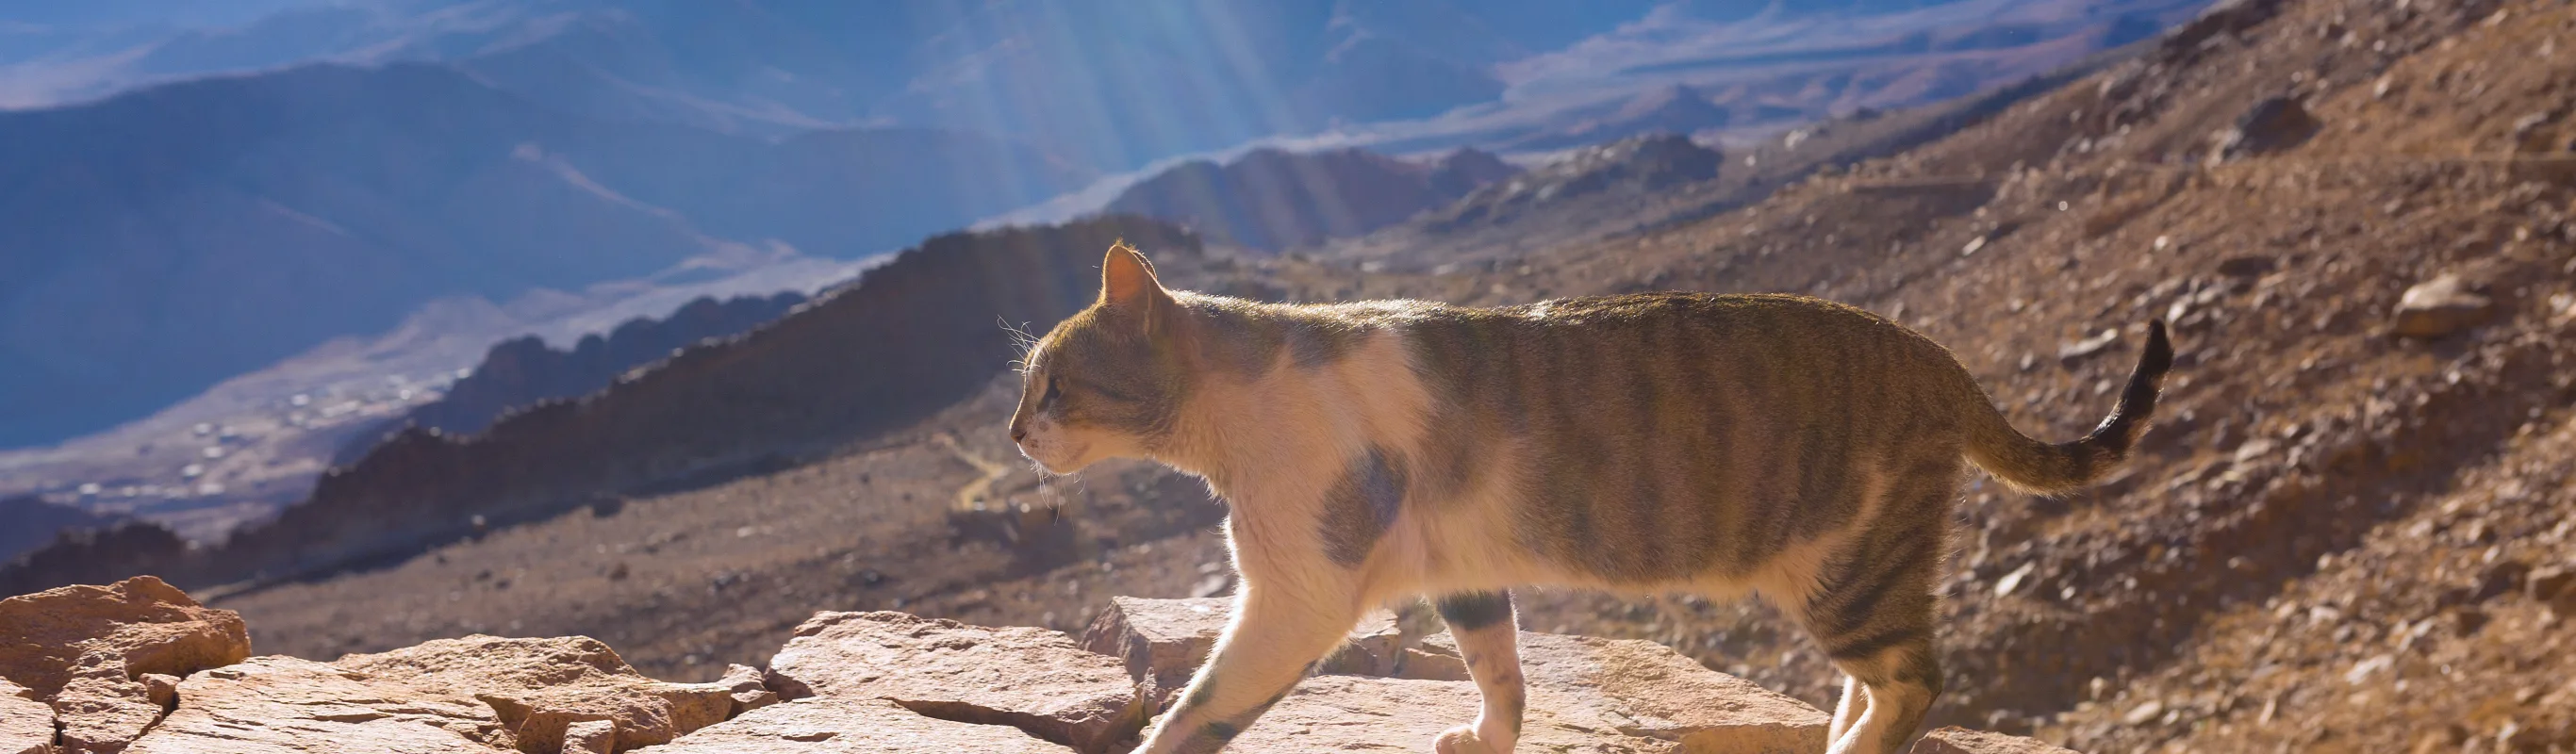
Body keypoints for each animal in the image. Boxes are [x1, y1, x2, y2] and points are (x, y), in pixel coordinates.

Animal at [1009, 243, 2173, 746]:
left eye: (1051, 383)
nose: (1015, 433)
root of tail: (1937, 358)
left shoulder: (1298, 593)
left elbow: (1201, 708)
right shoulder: (1462, 569)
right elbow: (1501, 672)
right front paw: (1488, 738)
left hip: (1847, 566)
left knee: (1917, 680)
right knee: (1882, 676)